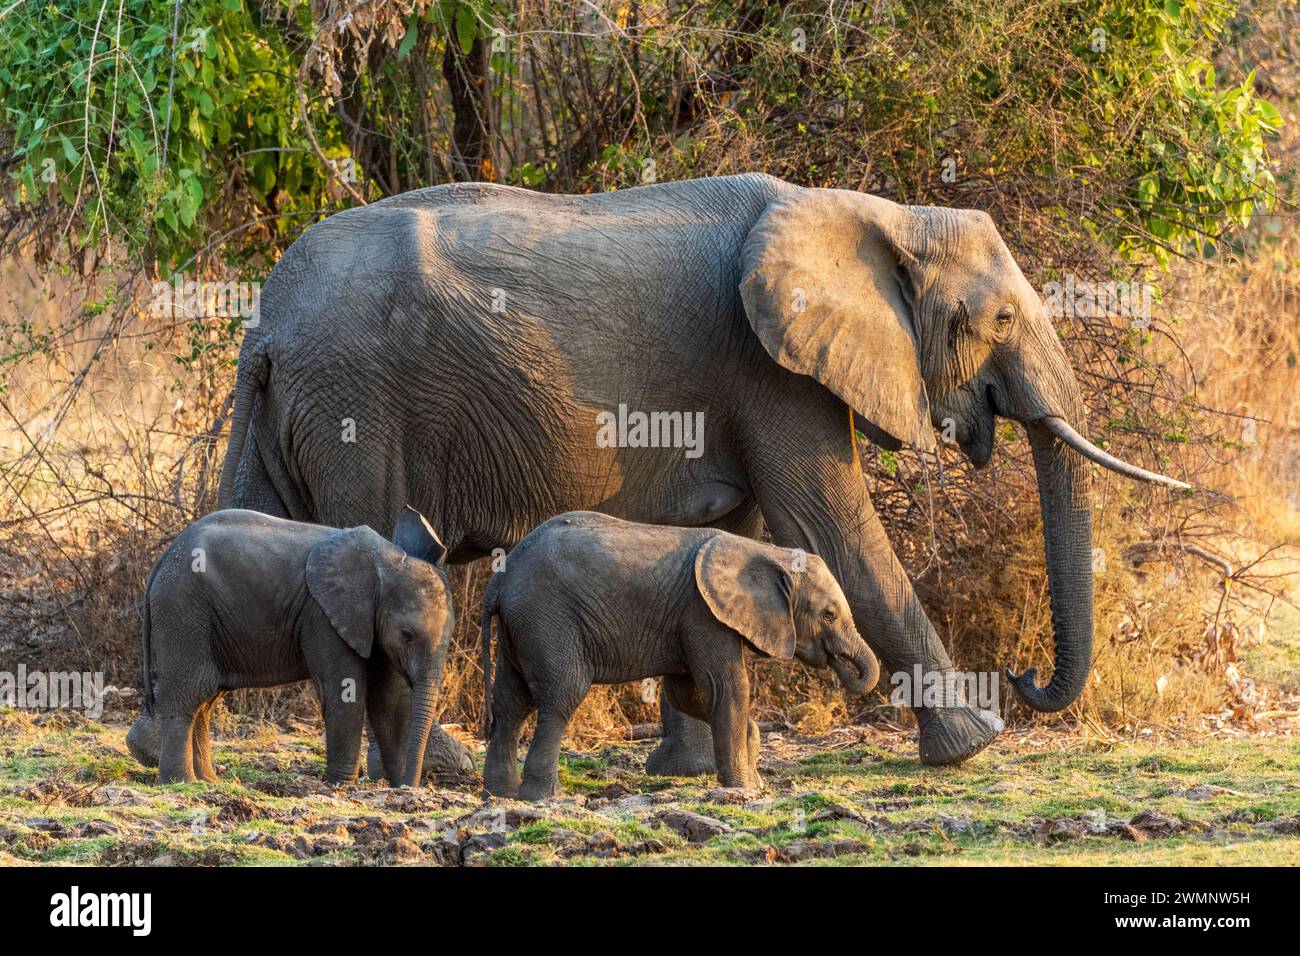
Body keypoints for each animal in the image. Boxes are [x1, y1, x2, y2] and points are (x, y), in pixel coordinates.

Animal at [139, 509, 454, 785]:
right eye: (407, 635)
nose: (410, 785)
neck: (385, 562)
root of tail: (164, 557)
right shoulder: (323, 615)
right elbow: (345, 690)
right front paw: (341, 783)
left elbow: (389, 699)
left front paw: (397, 783)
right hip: (183, 608)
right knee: (191, 690)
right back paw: (182, 783)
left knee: (206, 698)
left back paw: (209, 781)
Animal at [215, 174, 1190, 770]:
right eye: (997, 321)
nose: (1023, 677)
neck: (881, 215)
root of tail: (268, 322)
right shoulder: (769, 366)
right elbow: (836, 531)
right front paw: (975, 742)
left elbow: (734, 541)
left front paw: (682, 770)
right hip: (358, 405)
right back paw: (444, 765)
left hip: (288, 407)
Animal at [483, 515, 878, 801]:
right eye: (829, 615)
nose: (843, 665)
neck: (766, 552)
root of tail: (500, 581)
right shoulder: (703, 612)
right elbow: (724, 688)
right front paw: (745, 787)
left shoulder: (689, 619)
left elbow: (687, 693)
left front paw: (752, 758)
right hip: (547, 619)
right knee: (561, 696)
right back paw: (543, 796)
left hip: (520, 627)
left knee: (510, 702)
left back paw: (501, 793)